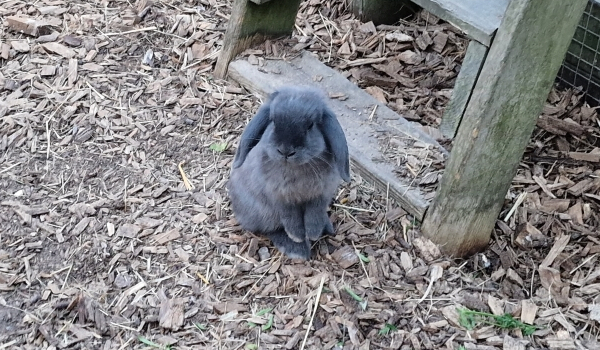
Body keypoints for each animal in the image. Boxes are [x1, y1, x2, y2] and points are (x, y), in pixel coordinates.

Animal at [229, 85, 352, 260]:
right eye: (273, 121)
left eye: (310, 125)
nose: (286, 151)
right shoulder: (280, 197)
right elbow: (290, 218)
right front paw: (298, 236)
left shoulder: (321, 195)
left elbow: (314, 214)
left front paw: (313, 233)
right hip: (262, 213)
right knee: (269, 229)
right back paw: (296, 247)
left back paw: (326, 227)